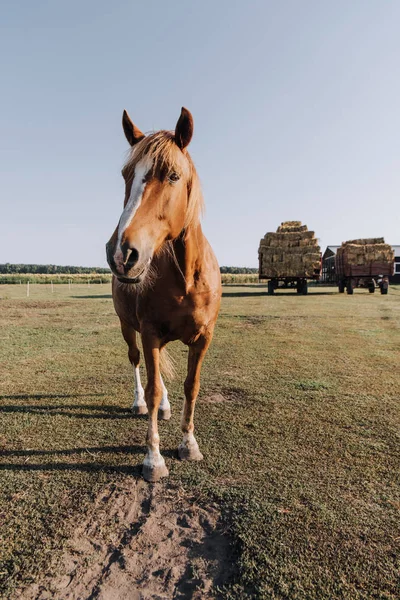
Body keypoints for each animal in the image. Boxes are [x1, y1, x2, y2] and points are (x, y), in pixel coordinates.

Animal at [106, 108, 222, 482]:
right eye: (126, 175)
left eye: (173, 175)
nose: (121, 253)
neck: (186, 277)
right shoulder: (150, 333)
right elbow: (154, 388)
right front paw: (153, 459)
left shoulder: (203, 338)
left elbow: (191, 385)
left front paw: (189, 443)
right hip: (129, 328)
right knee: (137, 363)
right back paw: (139, 403)